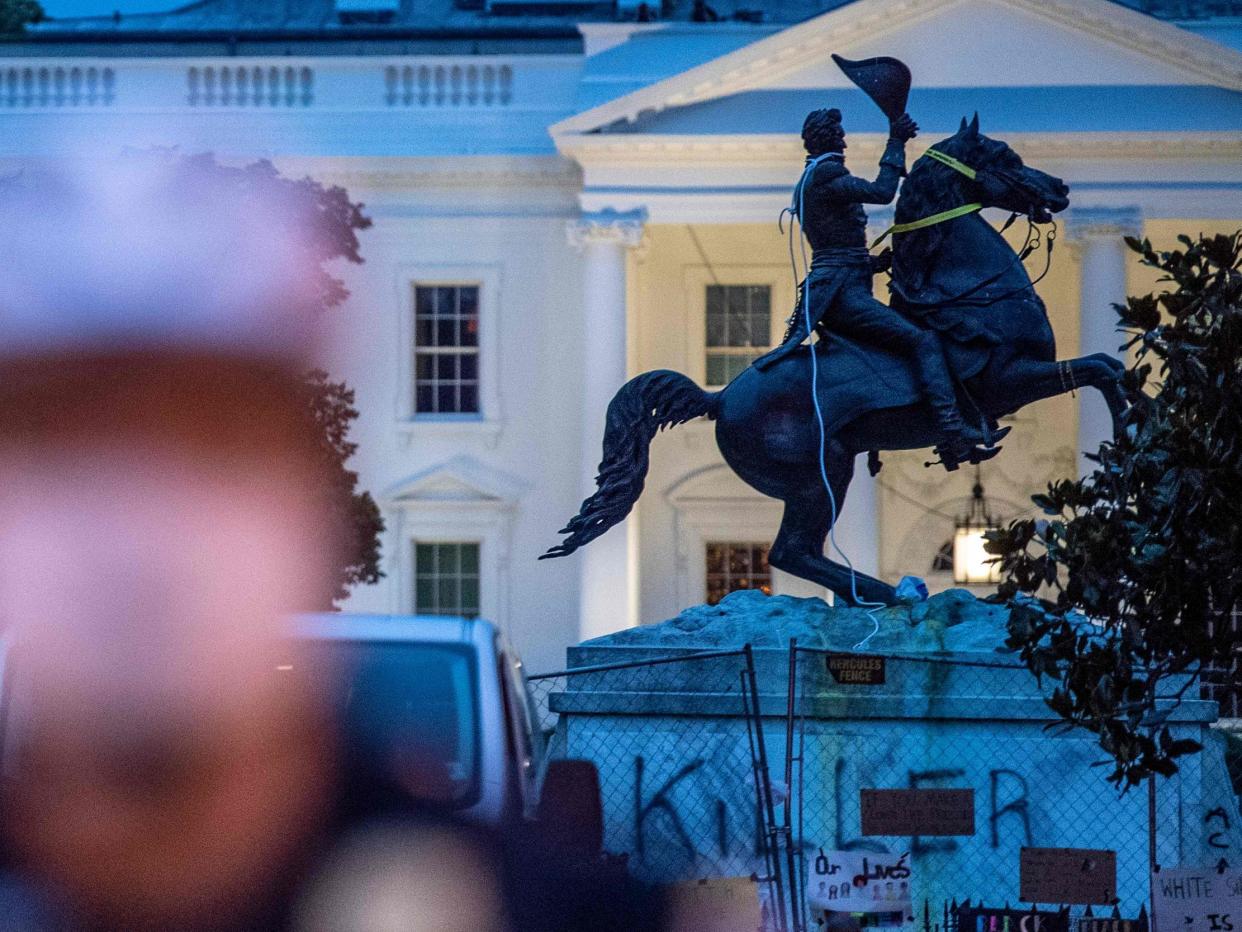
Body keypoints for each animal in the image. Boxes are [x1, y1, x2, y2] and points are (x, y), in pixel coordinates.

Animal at [539, 116, 1132, 608]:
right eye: (1005, 155)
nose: (1062, 189)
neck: (971, 291)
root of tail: (720, 398)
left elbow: (1111, 365)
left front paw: (1136, 432)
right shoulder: (1008, 382)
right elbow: (1098, 368)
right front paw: (1125, 443)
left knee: (798, 552)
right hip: (823, 470)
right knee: (790, 552)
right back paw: (889, 593)